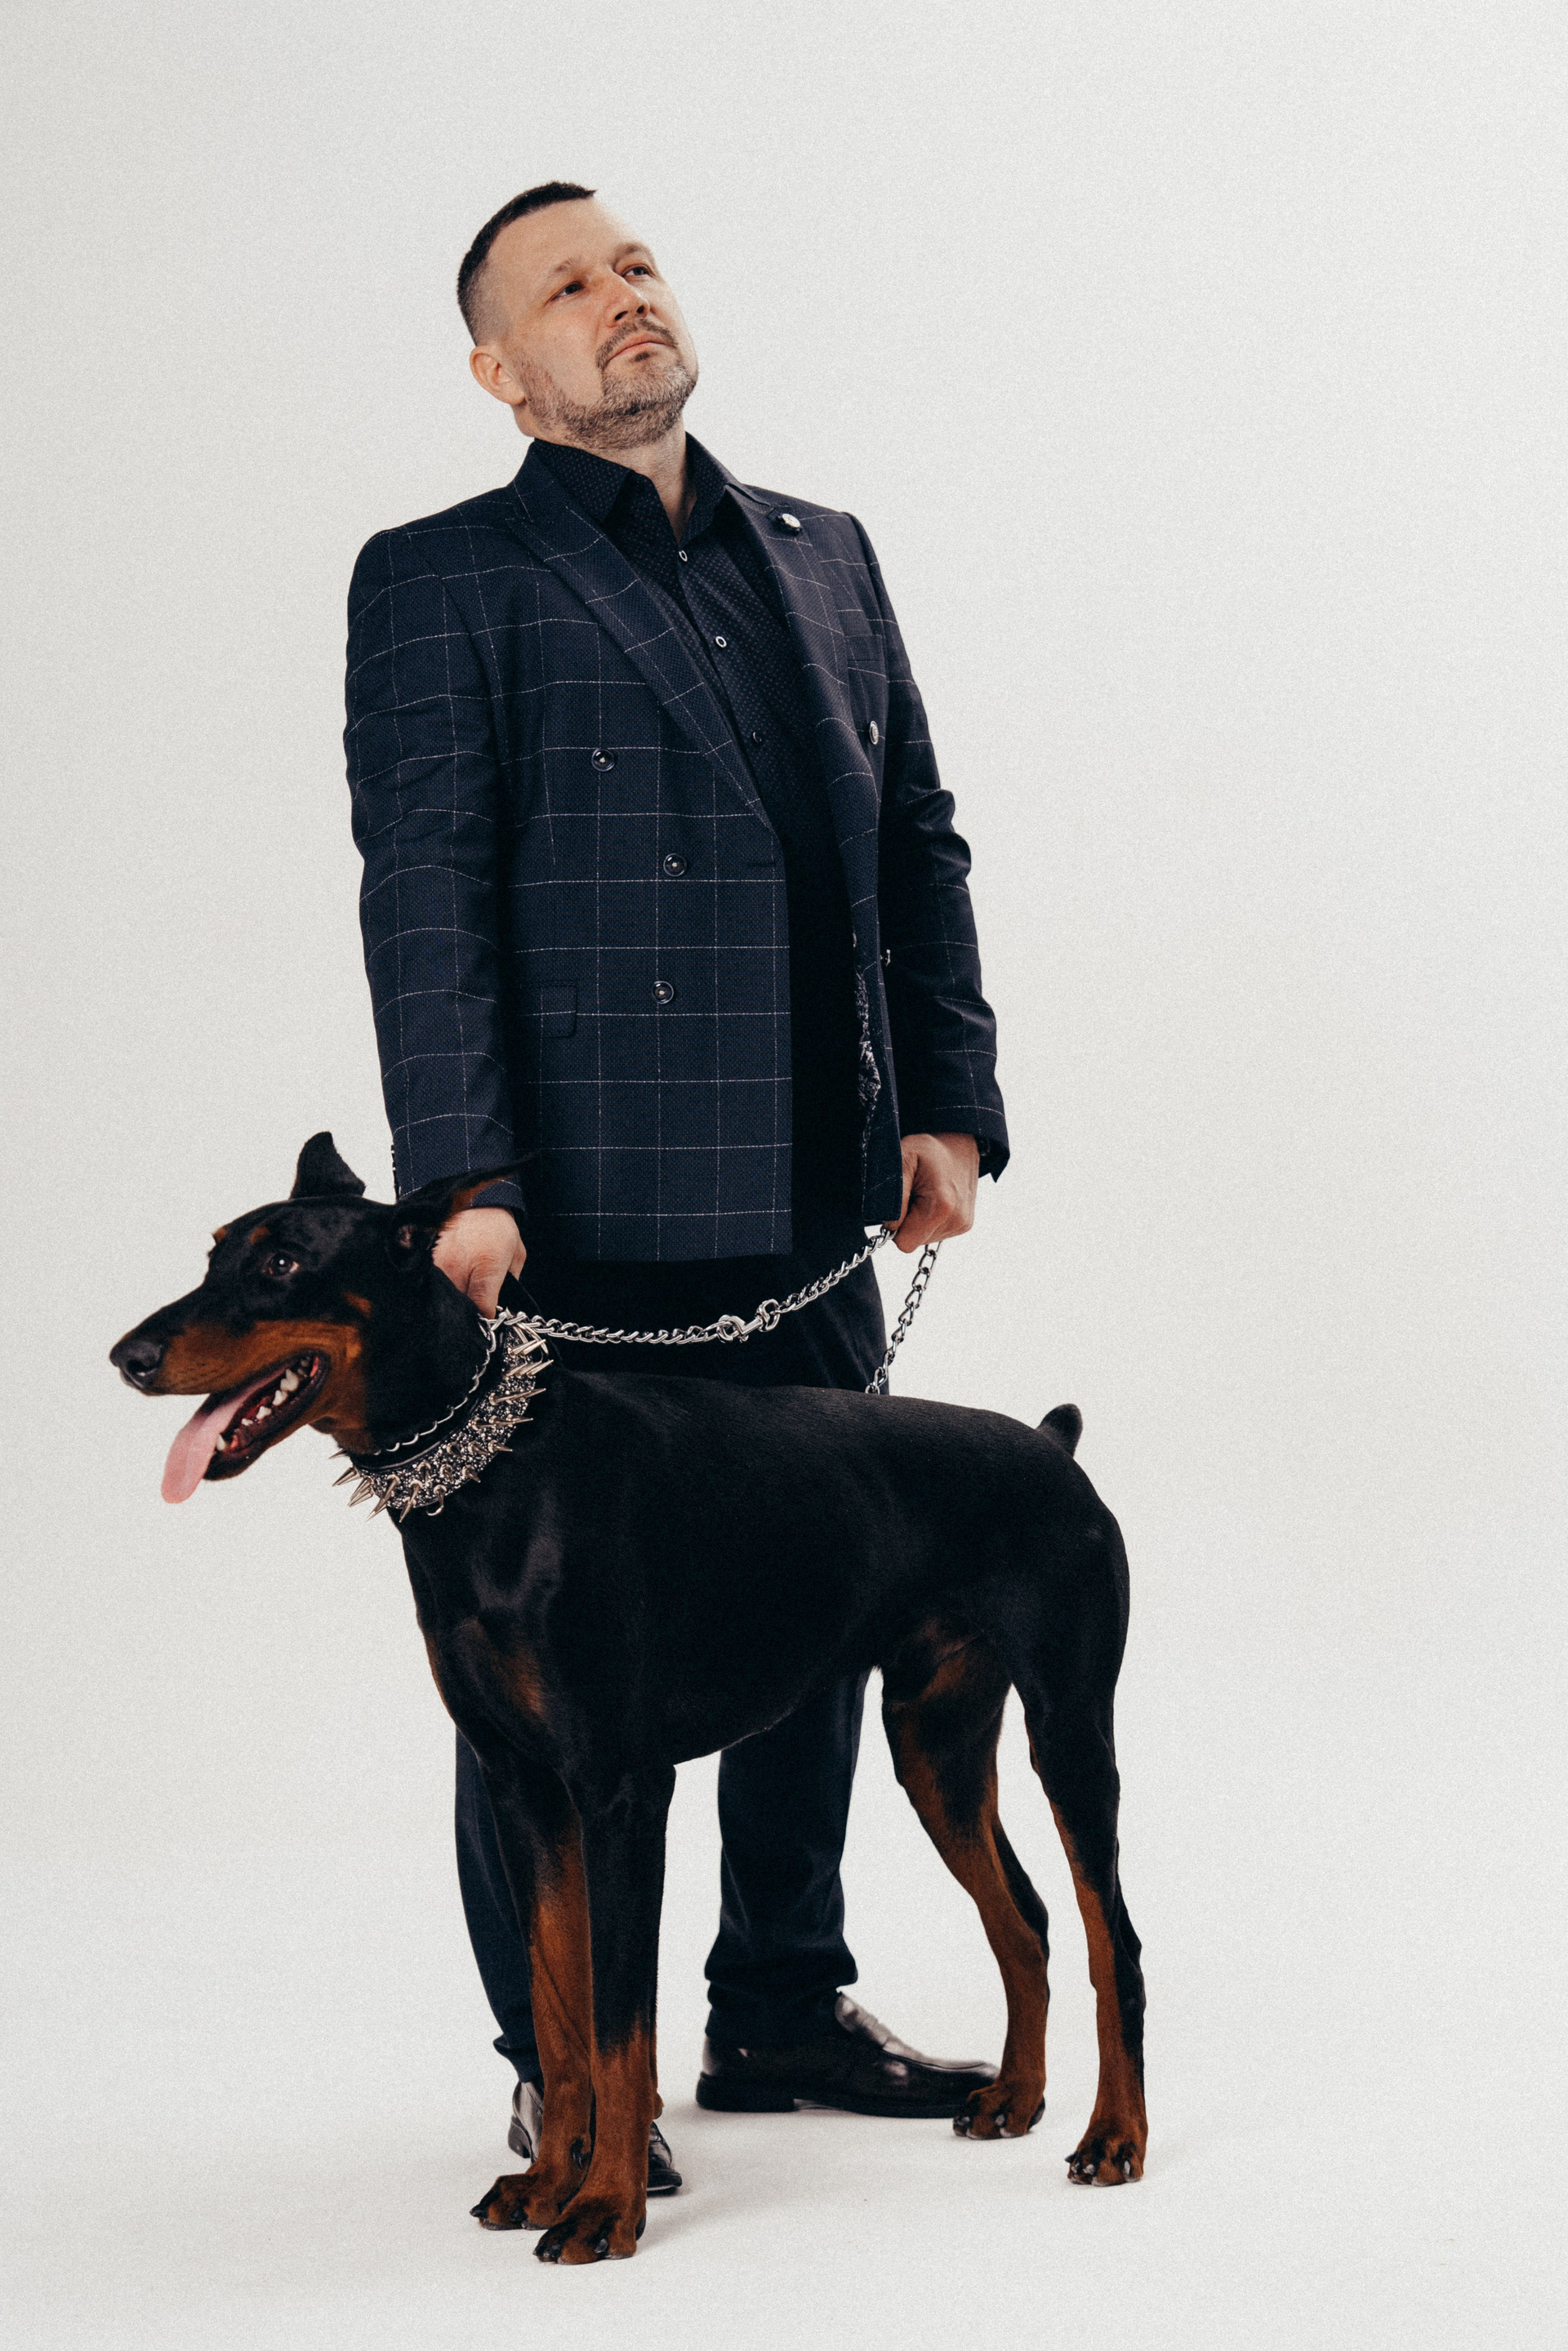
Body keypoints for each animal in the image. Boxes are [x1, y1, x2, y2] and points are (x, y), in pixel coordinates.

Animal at [111, 1133, 1147, 2264]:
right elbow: (559, 2009)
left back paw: (1114, 2135)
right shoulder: (523, 1785)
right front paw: (544, 2181)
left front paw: (606, 2205)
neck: (492, 1476)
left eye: (284, 1262)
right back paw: (1016, 2095)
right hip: (936, 1743)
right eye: (214, 1253)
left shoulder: (619, 1788)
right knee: (1028, 1917)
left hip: (1068, 1726)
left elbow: (619, 2021)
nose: (127, 1355)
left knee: (1112, 1935)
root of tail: (1053, 1445)